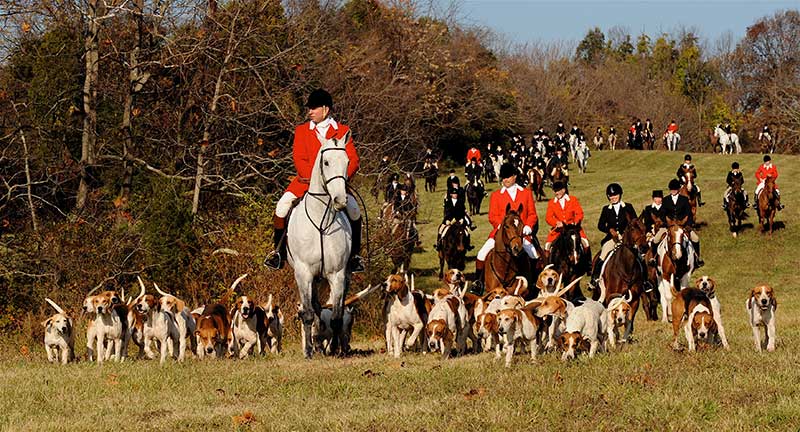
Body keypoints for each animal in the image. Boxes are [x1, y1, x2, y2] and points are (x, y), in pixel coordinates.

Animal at [286, 130, 352, 360]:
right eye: (326, 162)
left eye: (347, 161)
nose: (340, 200)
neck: (321, 220)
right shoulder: (304, 272)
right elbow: (307, 313)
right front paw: (308, 350)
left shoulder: (337, 274)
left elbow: (337, 316)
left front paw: (334, 348)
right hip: (311, 277)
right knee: (314, 307)